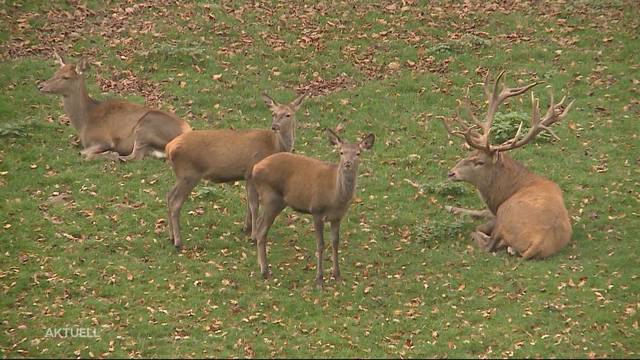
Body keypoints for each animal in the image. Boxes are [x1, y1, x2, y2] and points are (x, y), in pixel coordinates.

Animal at [37, 51, 190, 160]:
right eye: (55, 73)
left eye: (66, 77)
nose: (40, 86)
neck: (84, 122)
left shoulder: (103, 139)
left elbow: (83, 153)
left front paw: (108, 153)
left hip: (146, 126)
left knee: (135, 157)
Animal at [164, 91, 306, 249]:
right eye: (273, 113)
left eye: (288, 114)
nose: (274, 126)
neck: (274, 147)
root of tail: (169, 147)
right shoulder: (251, 171)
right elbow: (254, 205)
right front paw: (253, 236)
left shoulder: (246, 176)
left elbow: (248, 203)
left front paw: (246, 228)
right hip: (189, 174)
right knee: (176, 201)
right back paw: (178, 241)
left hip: (181, 175)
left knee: (169, 196)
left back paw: (170, 236)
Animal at [246, 129, 376, 286]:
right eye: (341, 152)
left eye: (358, 153)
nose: (347, 163)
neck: (335, 196)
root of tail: (255, 168)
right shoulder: (316, 210)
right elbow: (320, 244)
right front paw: (319, 279)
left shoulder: (337, 217)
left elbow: (335, 242)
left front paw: (337, 276)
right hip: (271, 198)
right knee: (262, 231)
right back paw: (265, 272)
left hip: (276, 202)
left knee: (259, 223)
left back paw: (261, 266)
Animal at [440, 71, 576, 260]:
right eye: (469, 154)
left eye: (480, 162)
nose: (451, 173)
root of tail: (538, 242)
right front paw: (451, 207)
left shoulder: (497, 211)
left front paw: (450, 207)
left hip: (506, 215)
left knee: (486, 242)